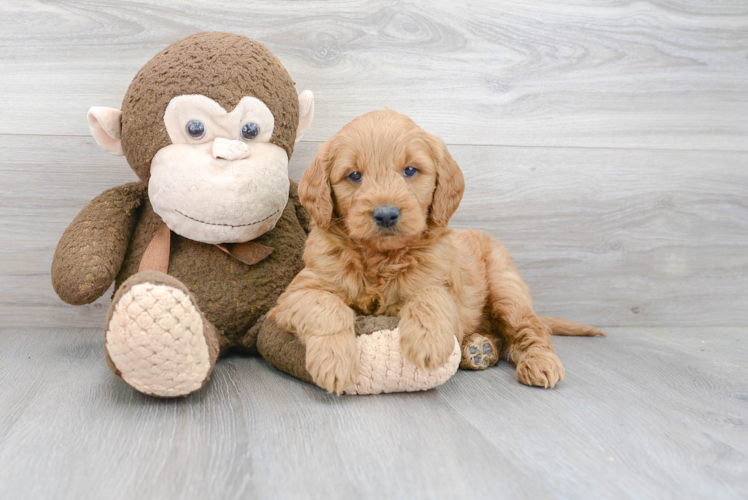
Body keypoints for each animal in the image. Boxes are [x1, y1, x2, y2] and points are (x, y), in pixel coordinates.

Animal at [268, 109, 600, 394]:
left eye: (410, 170)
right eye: (354, 176)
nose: (386, 215)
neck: (381, 259)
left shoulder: (445, 284)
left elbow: (430, 296)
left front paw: (427, 344)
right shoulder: (297, 292)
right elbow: (327, 307)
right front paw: (335, 361)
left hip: (506, 287)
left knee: (529, 329)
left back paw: (538, 361)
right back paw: (479, 349)